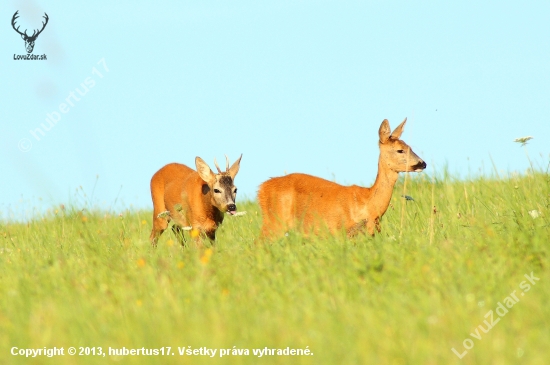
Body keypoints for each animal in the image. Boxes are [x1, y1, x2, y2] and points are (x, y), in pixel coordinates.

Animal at [258, 118, 426, 237]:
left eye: (410, 147)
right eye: (400, 150)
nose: (422, 163)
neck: (368, 204)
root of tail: (261, 189)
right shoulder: (341, 231)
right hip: (274, 222)